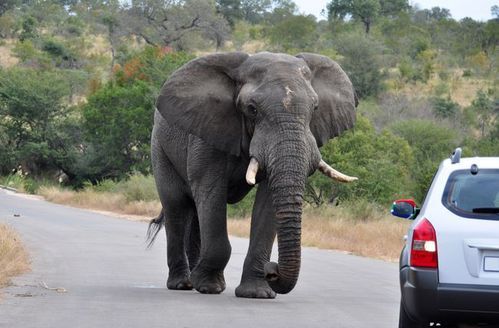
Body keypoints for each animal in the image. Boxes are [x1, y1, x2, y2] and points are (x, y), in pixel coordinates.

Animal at [146, 50, 358, 298]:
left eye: (315, 108)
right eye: (252, 109)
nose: (273, 271)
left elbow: (267, 202)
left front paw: (257, 293)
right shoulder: (207, 132)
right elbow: (211, 191)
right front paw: (209, 287)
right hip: (159, 147)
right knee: (176, 205)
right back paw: (183, 284)